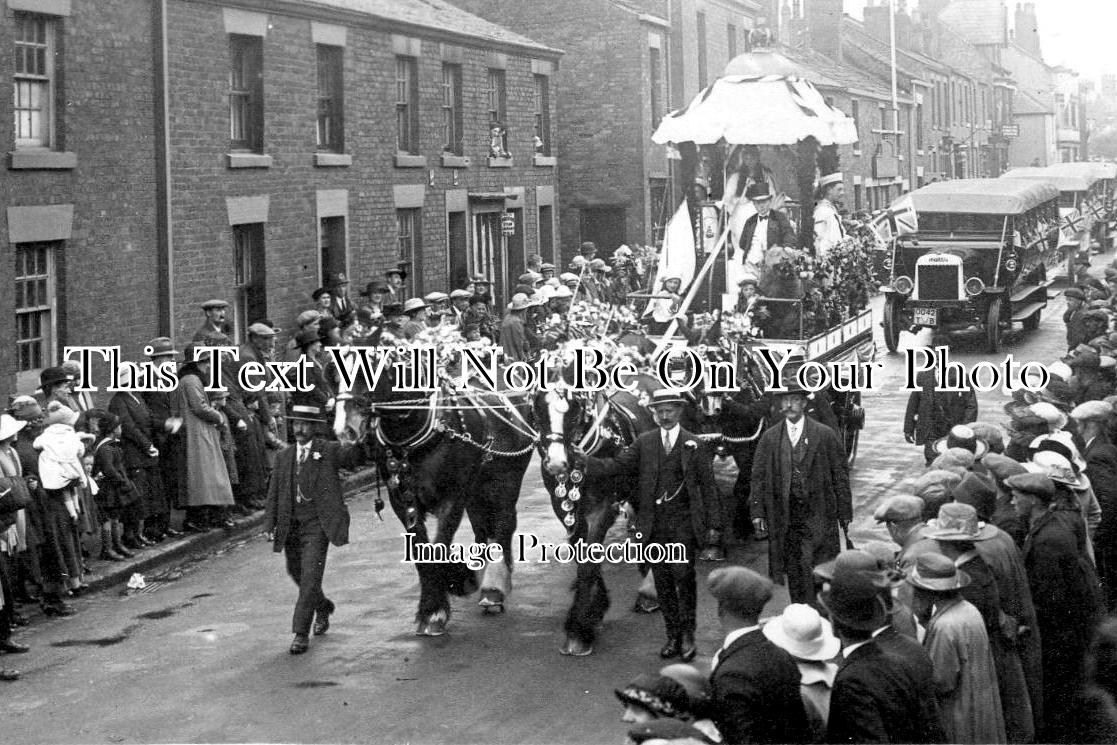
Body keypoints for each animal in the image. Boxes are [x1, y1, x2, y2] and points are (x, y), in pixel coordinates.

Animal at [332, 348, 533, 634]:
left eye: (368, 371)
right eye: (334, 373)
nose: (344, 428)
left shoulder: (453, 497)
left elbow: (438, 548)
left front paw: (439, 607)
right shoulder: (402, 501)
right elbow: (421, 551)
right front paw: (434, 605)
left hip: (505, 480)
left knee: (502, 524)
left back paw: (493, 588)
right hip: (477, 489)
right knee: (482, 526)